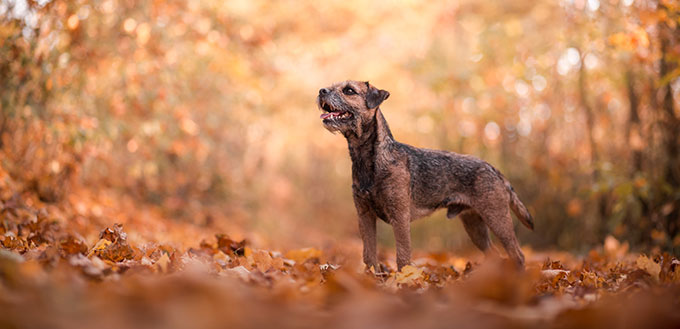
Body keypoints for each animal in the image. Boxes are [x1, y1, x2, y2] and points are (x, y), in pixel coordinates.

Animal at [316, 79, 532, 270]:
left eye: (349, 90)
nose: (321, 91)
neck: (369, 158)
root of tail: (494, 170)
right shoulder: (364, 216)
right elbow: (369, 256)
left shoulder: (400, 217)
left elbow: (403, 257)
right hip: (475, 225)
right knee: (495, 254)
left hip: (497, 218)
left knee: (517, 254)